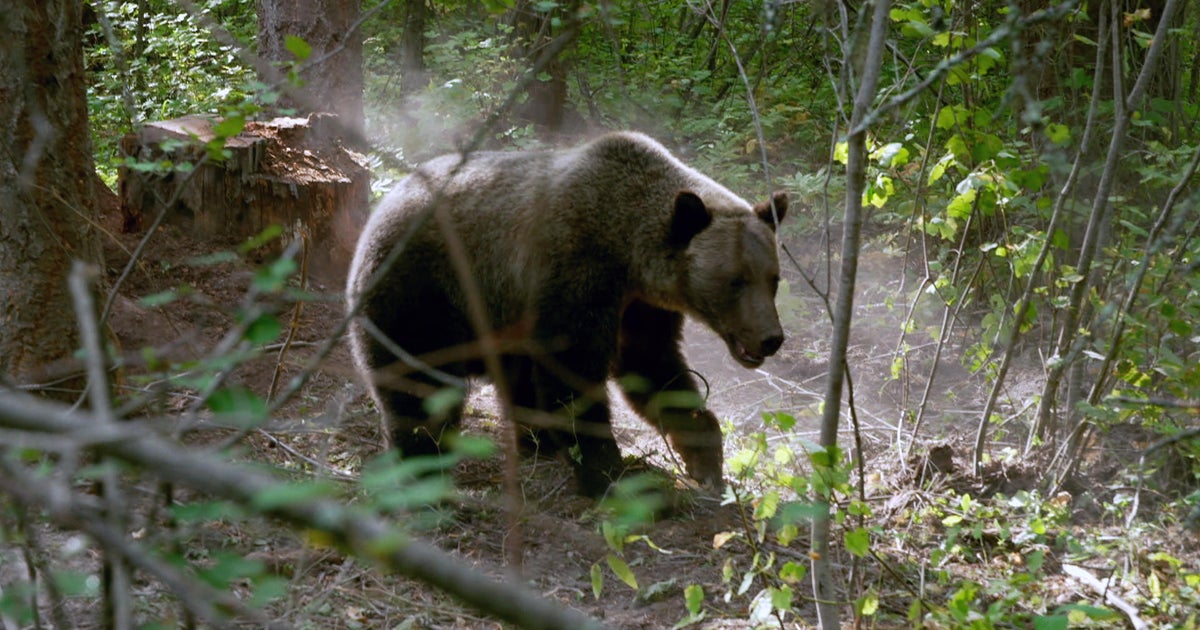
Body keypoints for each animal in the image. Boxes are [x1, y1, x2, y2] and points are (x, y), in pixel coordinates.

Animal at [346, 131, 787, 496]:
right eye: (735, 280)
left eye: (773, 278)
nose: (771, 338)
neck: (630, 253)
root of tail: (384, 203)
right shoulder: (577, 270)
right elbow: (573, 371)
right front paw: (607, 473)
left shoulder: (640, 307)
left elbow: (654, 367)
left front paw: (705, 459)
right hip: (425, 289)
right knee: (420, 384)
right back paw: (422, 463)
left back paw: (534, 442)